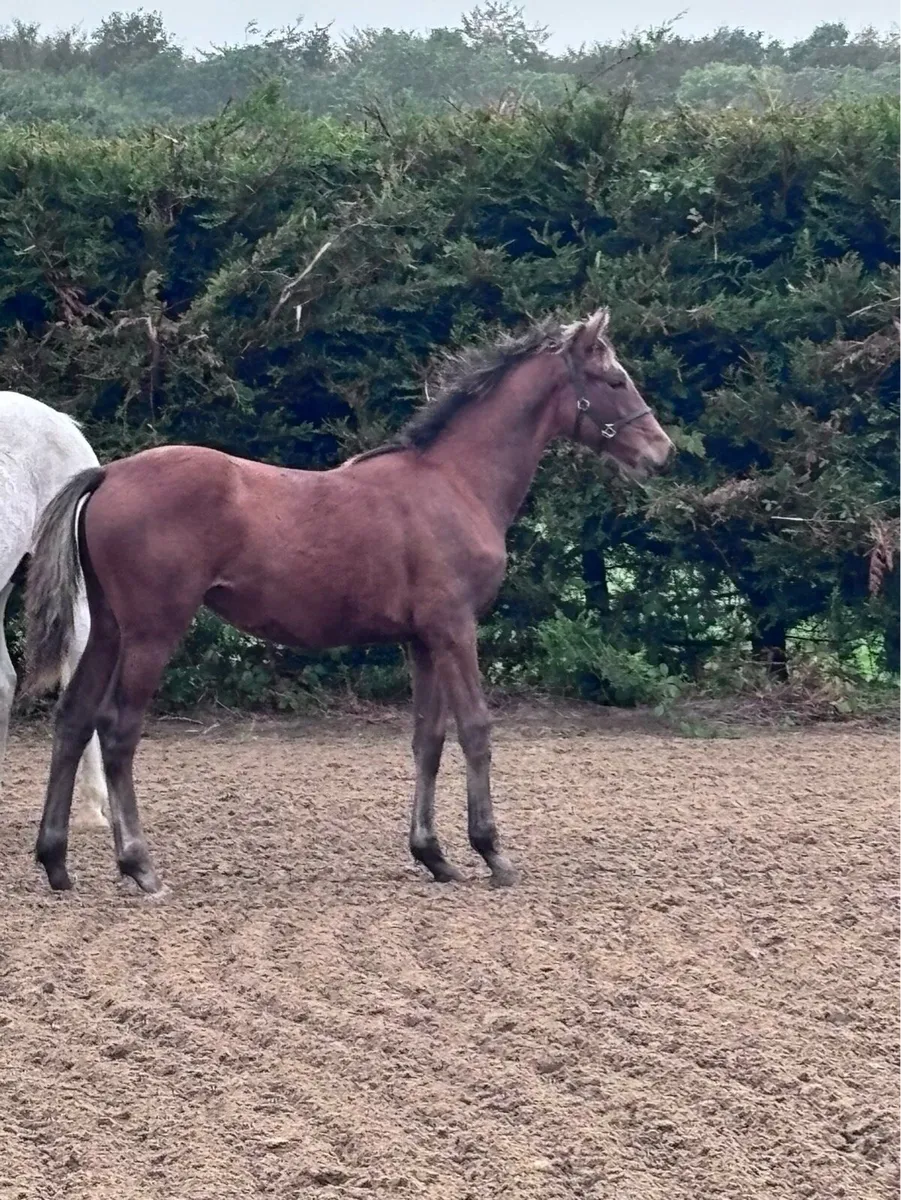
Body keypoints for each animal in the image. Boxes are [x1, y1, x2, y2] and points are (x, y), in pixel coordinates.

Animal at [24, 308, 673, 895]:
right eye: (615, 380)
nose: (661, 451)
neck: (455, 481)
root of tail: (108, 473)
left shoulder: (422, 639)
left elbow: (428, 739)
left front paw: (433, 855)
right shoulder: (455, 628)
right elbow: (476, 729)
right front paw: (492, 853)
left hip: (109, 627)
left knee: (73, 719)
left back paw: (56, 862)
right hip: (152, 631)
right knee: (117, 729)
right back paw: (139, 865)